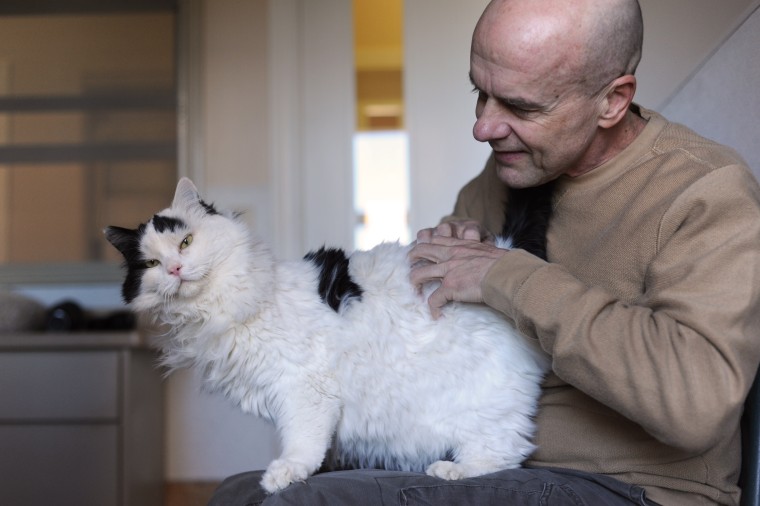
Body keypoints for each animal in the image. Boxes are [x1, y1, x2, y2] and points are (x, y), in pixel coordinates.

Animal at [104, 177, 552, 490]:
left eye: (186, 241)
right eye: (150, 263)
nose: (176, 269)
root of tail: (506, 248)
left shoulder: (306, 389)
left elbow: (302, 439)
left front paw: (287, 473)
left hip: (485, 407)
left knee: (505, 452)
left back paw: (454, 470)